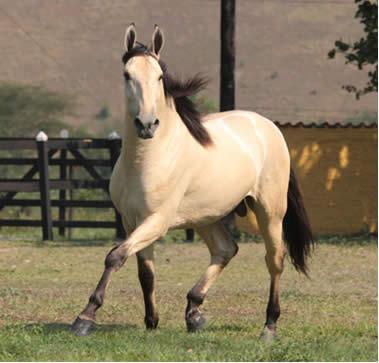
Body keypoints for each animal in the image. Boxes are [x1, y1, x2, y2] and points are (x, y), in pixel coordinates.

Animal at [70, 24, 314, 342]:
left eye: (160, 76)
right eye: (126, 74)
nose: (146, 124)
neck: (147, 160)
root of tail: (267, 126)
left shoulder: (156, 221)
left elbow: (115, 256)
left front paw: (85, 317)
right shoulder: (132, 220)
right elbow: (144, 272)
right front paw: (151, 320)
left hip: (269, 212)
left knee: (274, 259)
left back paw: (269, 326)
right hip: (206, 216)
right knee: (225, 249)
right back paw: (194, 312)